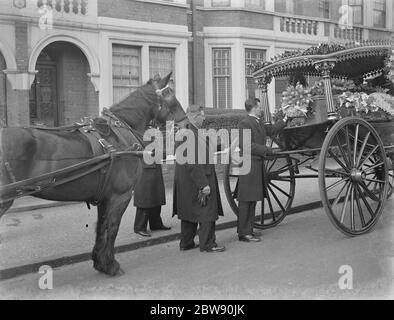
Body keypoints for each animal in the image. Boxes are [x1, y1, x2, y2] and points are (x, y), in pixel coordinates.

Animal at [0, 72, 186, 276]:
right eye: (170, 95)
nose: (186, 123)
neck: (119, 135)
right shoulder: (120, 196)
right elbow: (112, 227)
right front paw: (111, 265)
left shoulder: (105, 197)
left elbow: (101, 227)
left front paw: (100, 262)